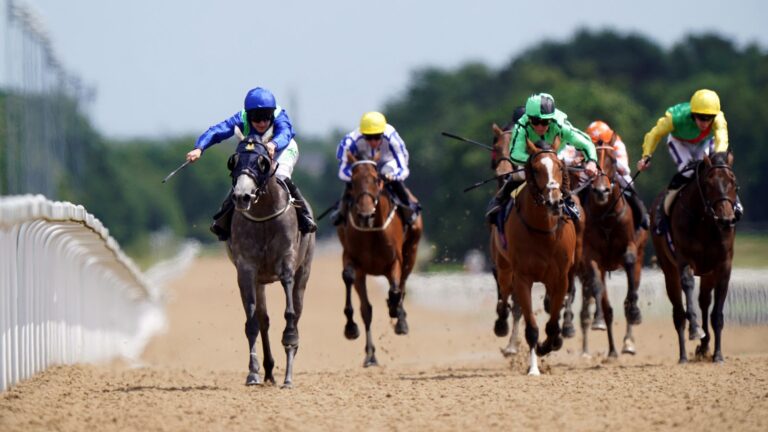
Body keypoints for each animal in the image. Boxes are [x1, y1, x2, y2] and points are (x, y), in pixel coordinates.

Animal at [226, 139, 314, 388]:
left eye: (262, 162)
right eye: (234, 161)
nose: (242, 196)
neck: (263, 211)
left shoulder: (287, 262)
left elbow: (290, 314)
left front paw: (289, 373)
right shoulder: (246, 269)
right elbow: (253, 322)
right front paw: (253, 373)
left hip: (304, 271)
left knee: (298, 309)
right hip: (260, 281)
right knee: (263, 320)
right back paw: (267, 371)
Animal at [336, 150, 424, 366]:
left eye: (377, 179)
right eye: (352, 181)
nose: (365, 215)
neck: (372, 232)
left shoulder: (395, 261)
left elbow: (395, 290)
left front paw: (396, 311)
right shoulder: (353, 261)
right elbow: (362, 303)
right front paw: (352, 329)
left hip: (412, 251)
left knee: (403, 284)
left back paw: (400, 319)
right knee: (368, 308)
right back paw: (370, 354)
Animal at [492, 136, 576, 374]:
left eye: (559, 167)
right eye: (537, 169)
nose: (554, 201)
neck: (544, 231)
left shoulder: (561, 278)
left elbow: (553, 323)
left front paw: (548, 345)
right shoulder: (522, 278)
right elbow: (531, 327)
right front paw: (533, 369)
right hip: (503, 266)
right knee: (503, 295)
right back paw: (501, 323)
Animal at [576, 143, 648, 356]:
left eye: (614, 160)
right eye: (589, 161)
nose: (601, 191)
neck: (606, 217)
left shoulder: (629, 246)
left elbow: (630, 263)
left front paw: (634, 312)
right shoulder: (591, 256)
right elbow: (596, 286)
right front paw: (598, 319)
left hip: (640, 255)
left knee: (632, 289)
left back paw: (628, 342)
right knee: (606, 306)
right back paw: (612, 350)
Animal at [648, 153, 736, 364]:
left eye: (733, 182)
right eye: (709, 183)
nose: (726, 220)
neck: (705, 223)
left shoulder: (723, 265)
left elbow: (716, 312)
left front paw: (718, 355)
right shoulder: (684, 260)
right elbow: (687, 286)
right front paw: (695, 329)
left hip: (708, 273)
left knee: (704, 301)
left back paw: (704, 347)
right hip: (669, 270)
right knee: (678, 313)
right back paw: (683, 355)